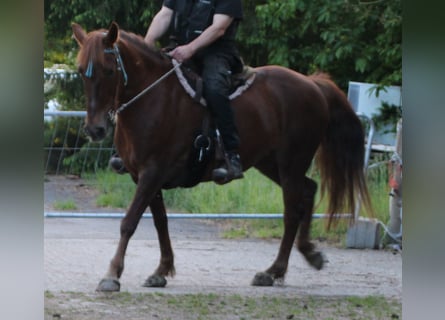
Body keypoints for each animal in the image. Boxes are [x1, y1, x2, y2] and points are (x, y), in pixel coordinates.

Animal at [72, 21, 372, 292]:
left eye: (109, 70)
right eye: (81, 72)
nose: (95, 129)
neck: (153, 98)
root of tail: (313, 83)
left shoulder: (152, 172)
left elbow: (129, 222)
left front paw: (112, 274)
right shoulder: (144, 176)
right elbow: (160, 222)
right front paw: (162, 270)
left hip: (291, 164)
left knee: (291, 212)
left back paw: (272, 271)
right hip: (270, 163)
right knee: (308, 191)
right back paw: (309, 254)